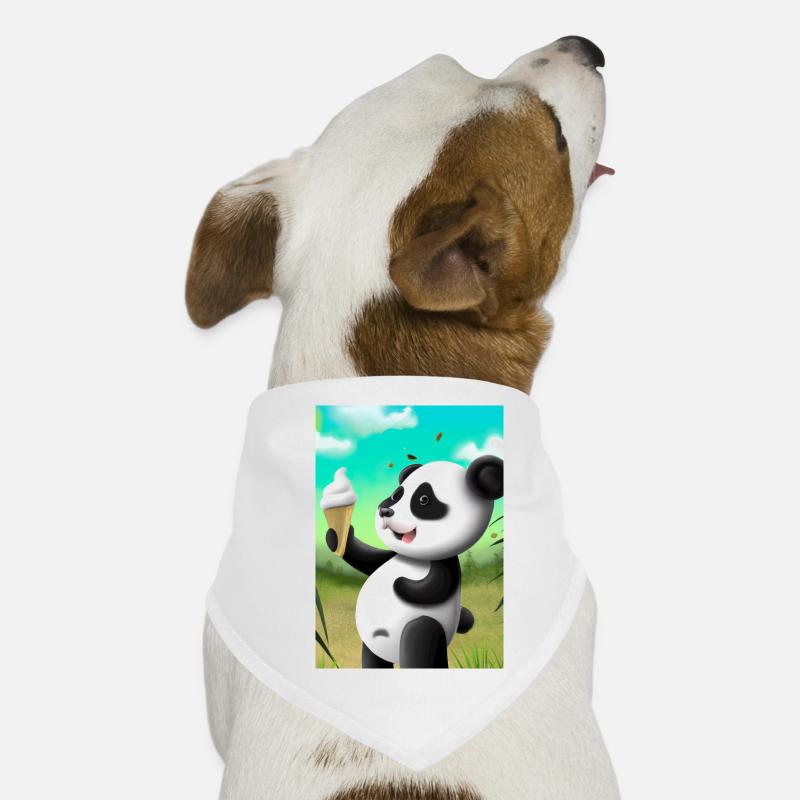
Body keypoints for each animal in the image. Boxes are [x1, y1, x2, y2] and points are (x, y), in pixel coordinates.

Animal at [325, 455, 503, 668]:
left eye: (424, 500)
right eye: (396, 495)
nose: (385, 511)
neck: (414, 558)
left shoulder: (445, 564)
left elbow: (436, 587)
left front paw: (400, 583)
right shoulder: (391, 555)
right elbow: (368, 559)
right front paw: (336, 538)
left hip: (424, 626)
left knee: (418, 644)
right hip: (371, 644)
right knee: (372, 658)